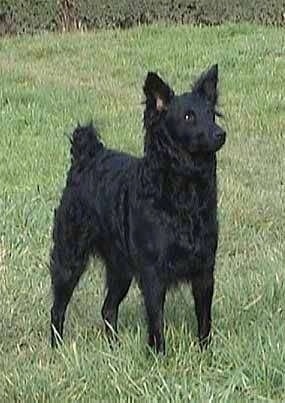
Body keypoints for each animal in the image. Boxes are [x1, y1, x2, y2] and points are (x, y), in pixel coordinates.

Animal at [50, 63, 225, 354]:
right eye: (188, 117)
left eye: (210, 114)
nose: (220, 133)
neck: (183, 191)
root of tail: (88, 156)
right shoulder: (153, 274)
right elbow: (156, 322)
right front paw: (159, 356)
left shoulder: (204, 270)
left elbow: (204, 320)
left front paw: (206, 354)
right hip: (69, 259)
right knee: (58, 308)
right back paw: (57, 348)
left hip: (120, 269)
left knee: (108, 308)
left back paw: (114, 347)